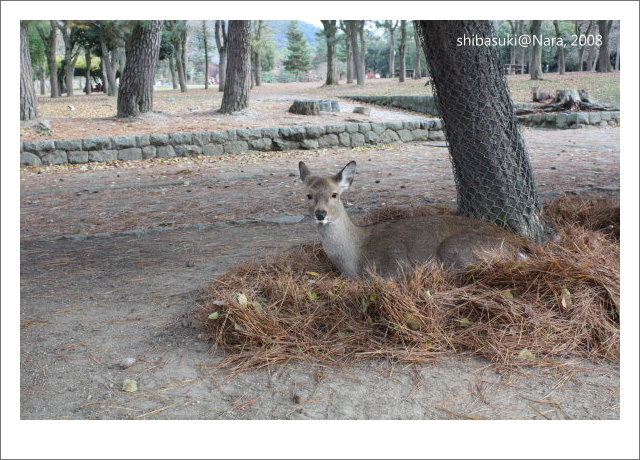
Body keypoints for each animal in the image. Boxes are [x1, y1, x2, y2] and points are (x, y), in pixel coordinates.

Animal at [298, 160, 524, 278]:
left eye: (335, 194)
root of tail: (520, 249)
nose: (320, 214)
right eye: (308, 195)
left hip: (456, 249)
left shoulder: (394, 269)